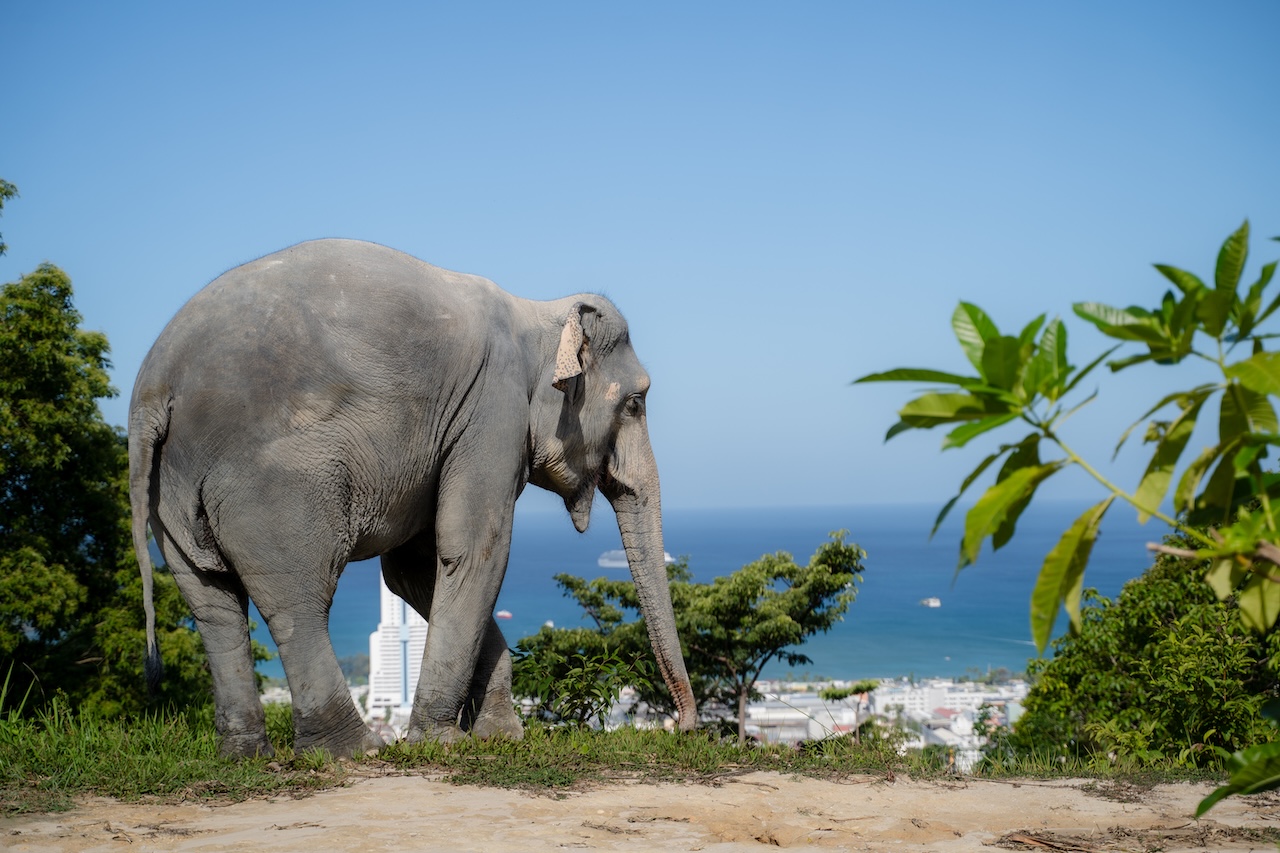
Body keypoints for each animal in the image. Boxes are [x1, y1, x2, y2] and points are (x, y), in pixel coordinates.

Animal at [128, 239, 698, 757]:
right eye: (636, 403)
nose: (687, 729)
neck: (536, 313)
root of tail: (152, 390)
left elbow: (413, 571)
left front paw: (499, 735)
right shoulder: (492, 413)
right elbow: (475, 550)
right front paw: (442, 742)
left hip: (168, 494)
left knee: (212, 604)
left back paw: (246, 754)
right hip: (271, 483)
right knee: (297, 602)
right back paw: (352, 751)